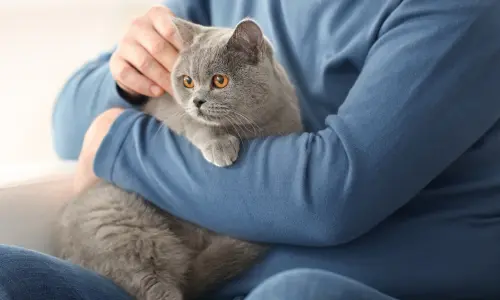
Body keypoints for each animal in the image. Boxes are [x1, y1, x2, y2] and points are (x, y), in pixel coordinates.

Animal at [53, 17, 302, 300]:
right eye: (187, 81)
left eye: (219, 80)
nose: (197, 101)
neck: (251, 128)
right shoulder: (170, 109)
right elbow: (197, 125)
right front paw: (219, 146)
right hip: (117, 218)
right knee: (152, 283)